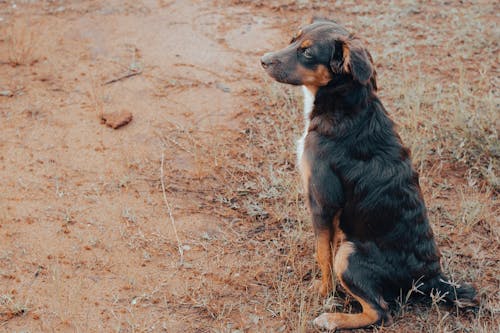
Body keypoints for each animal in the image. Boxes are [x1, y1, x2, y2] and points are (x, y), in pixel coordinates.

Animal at [262, 20, 476, 330]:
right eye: (293, 40)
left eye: (308, 53)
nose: (262, 60)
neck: (345, 105)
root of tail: (432, 280)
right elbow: (328, 246)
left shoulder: (322, 203)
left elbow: (323, 253)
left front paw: (323, 291)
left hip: (350, 255)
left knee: (380, 312)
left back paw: (332, 319)